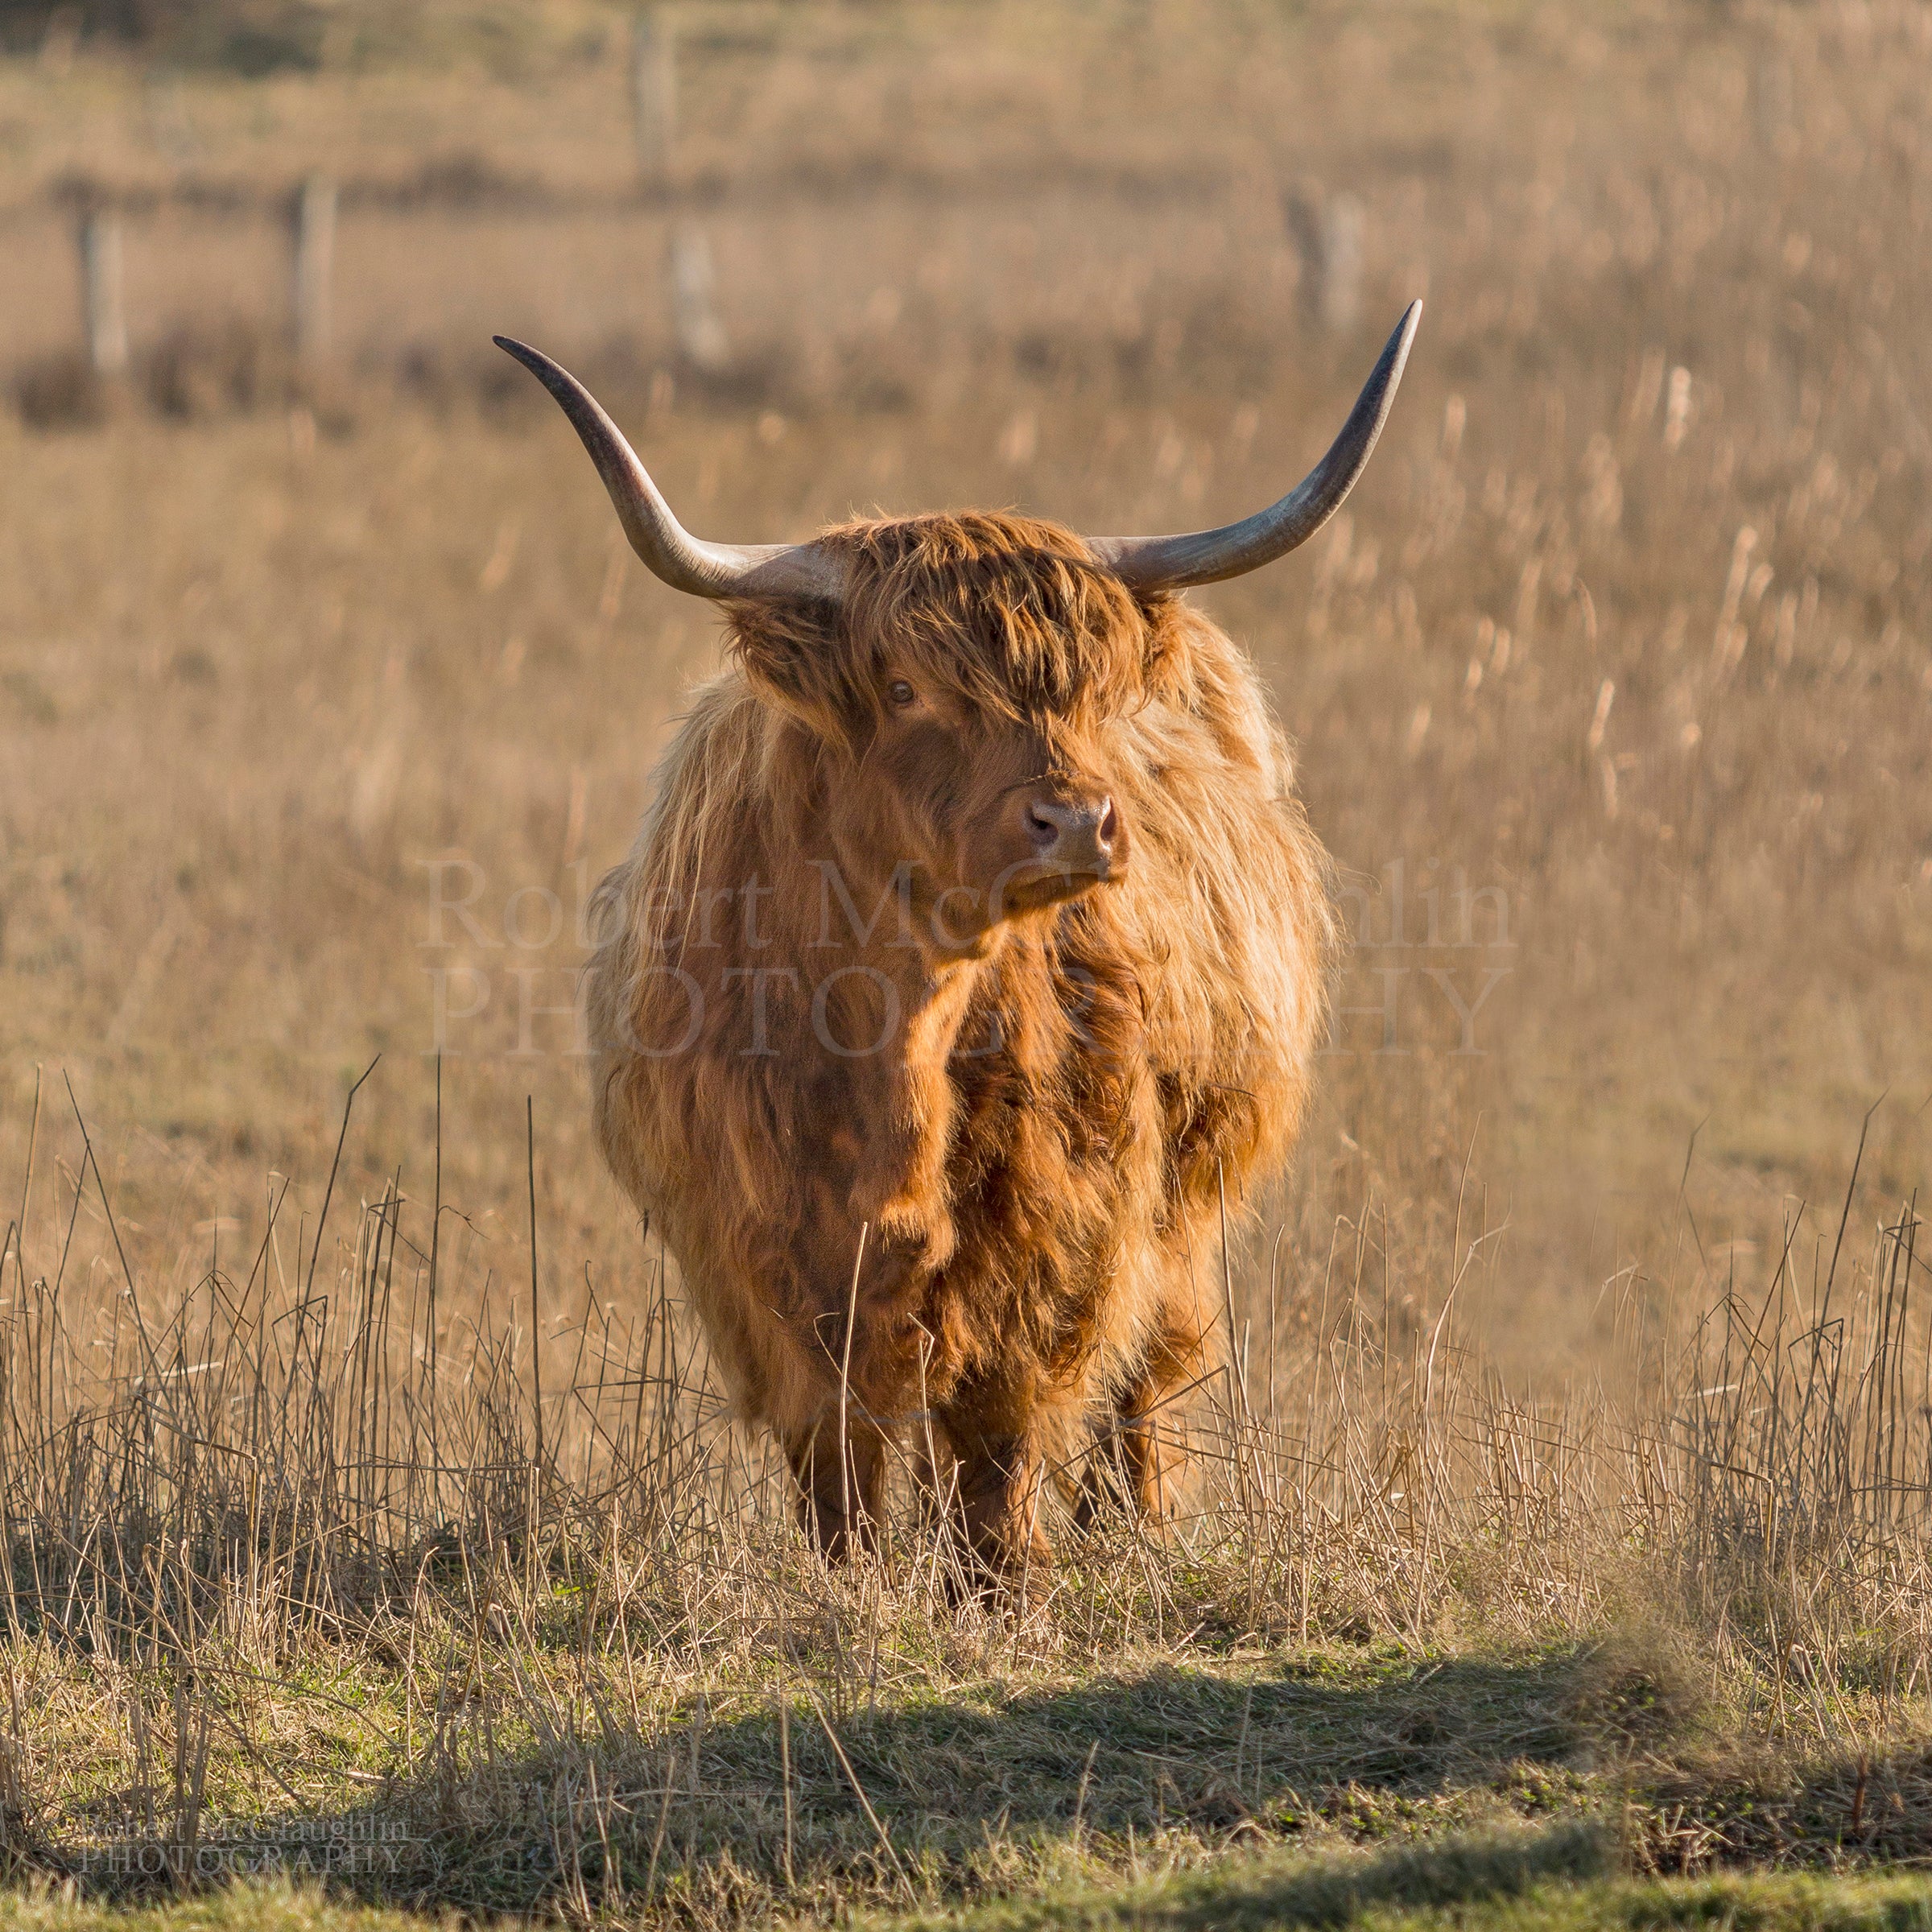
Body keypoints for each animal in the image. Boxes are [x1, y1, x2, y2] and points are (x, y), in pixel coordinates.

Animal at [496, 302, 1419, 1597]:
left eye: (1087, 694)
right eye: (903, 687)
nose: (1078, 822)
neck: (885, 1047)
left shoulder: (1062, 1218)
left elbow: (1004, 1420)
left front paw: (1003, 1581)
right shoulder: (752, 1253)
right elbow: (832, 1440)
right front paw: (847, 1582)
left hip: (1191, 1192)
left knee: (1155, 1368)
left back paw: (1138, 1528)